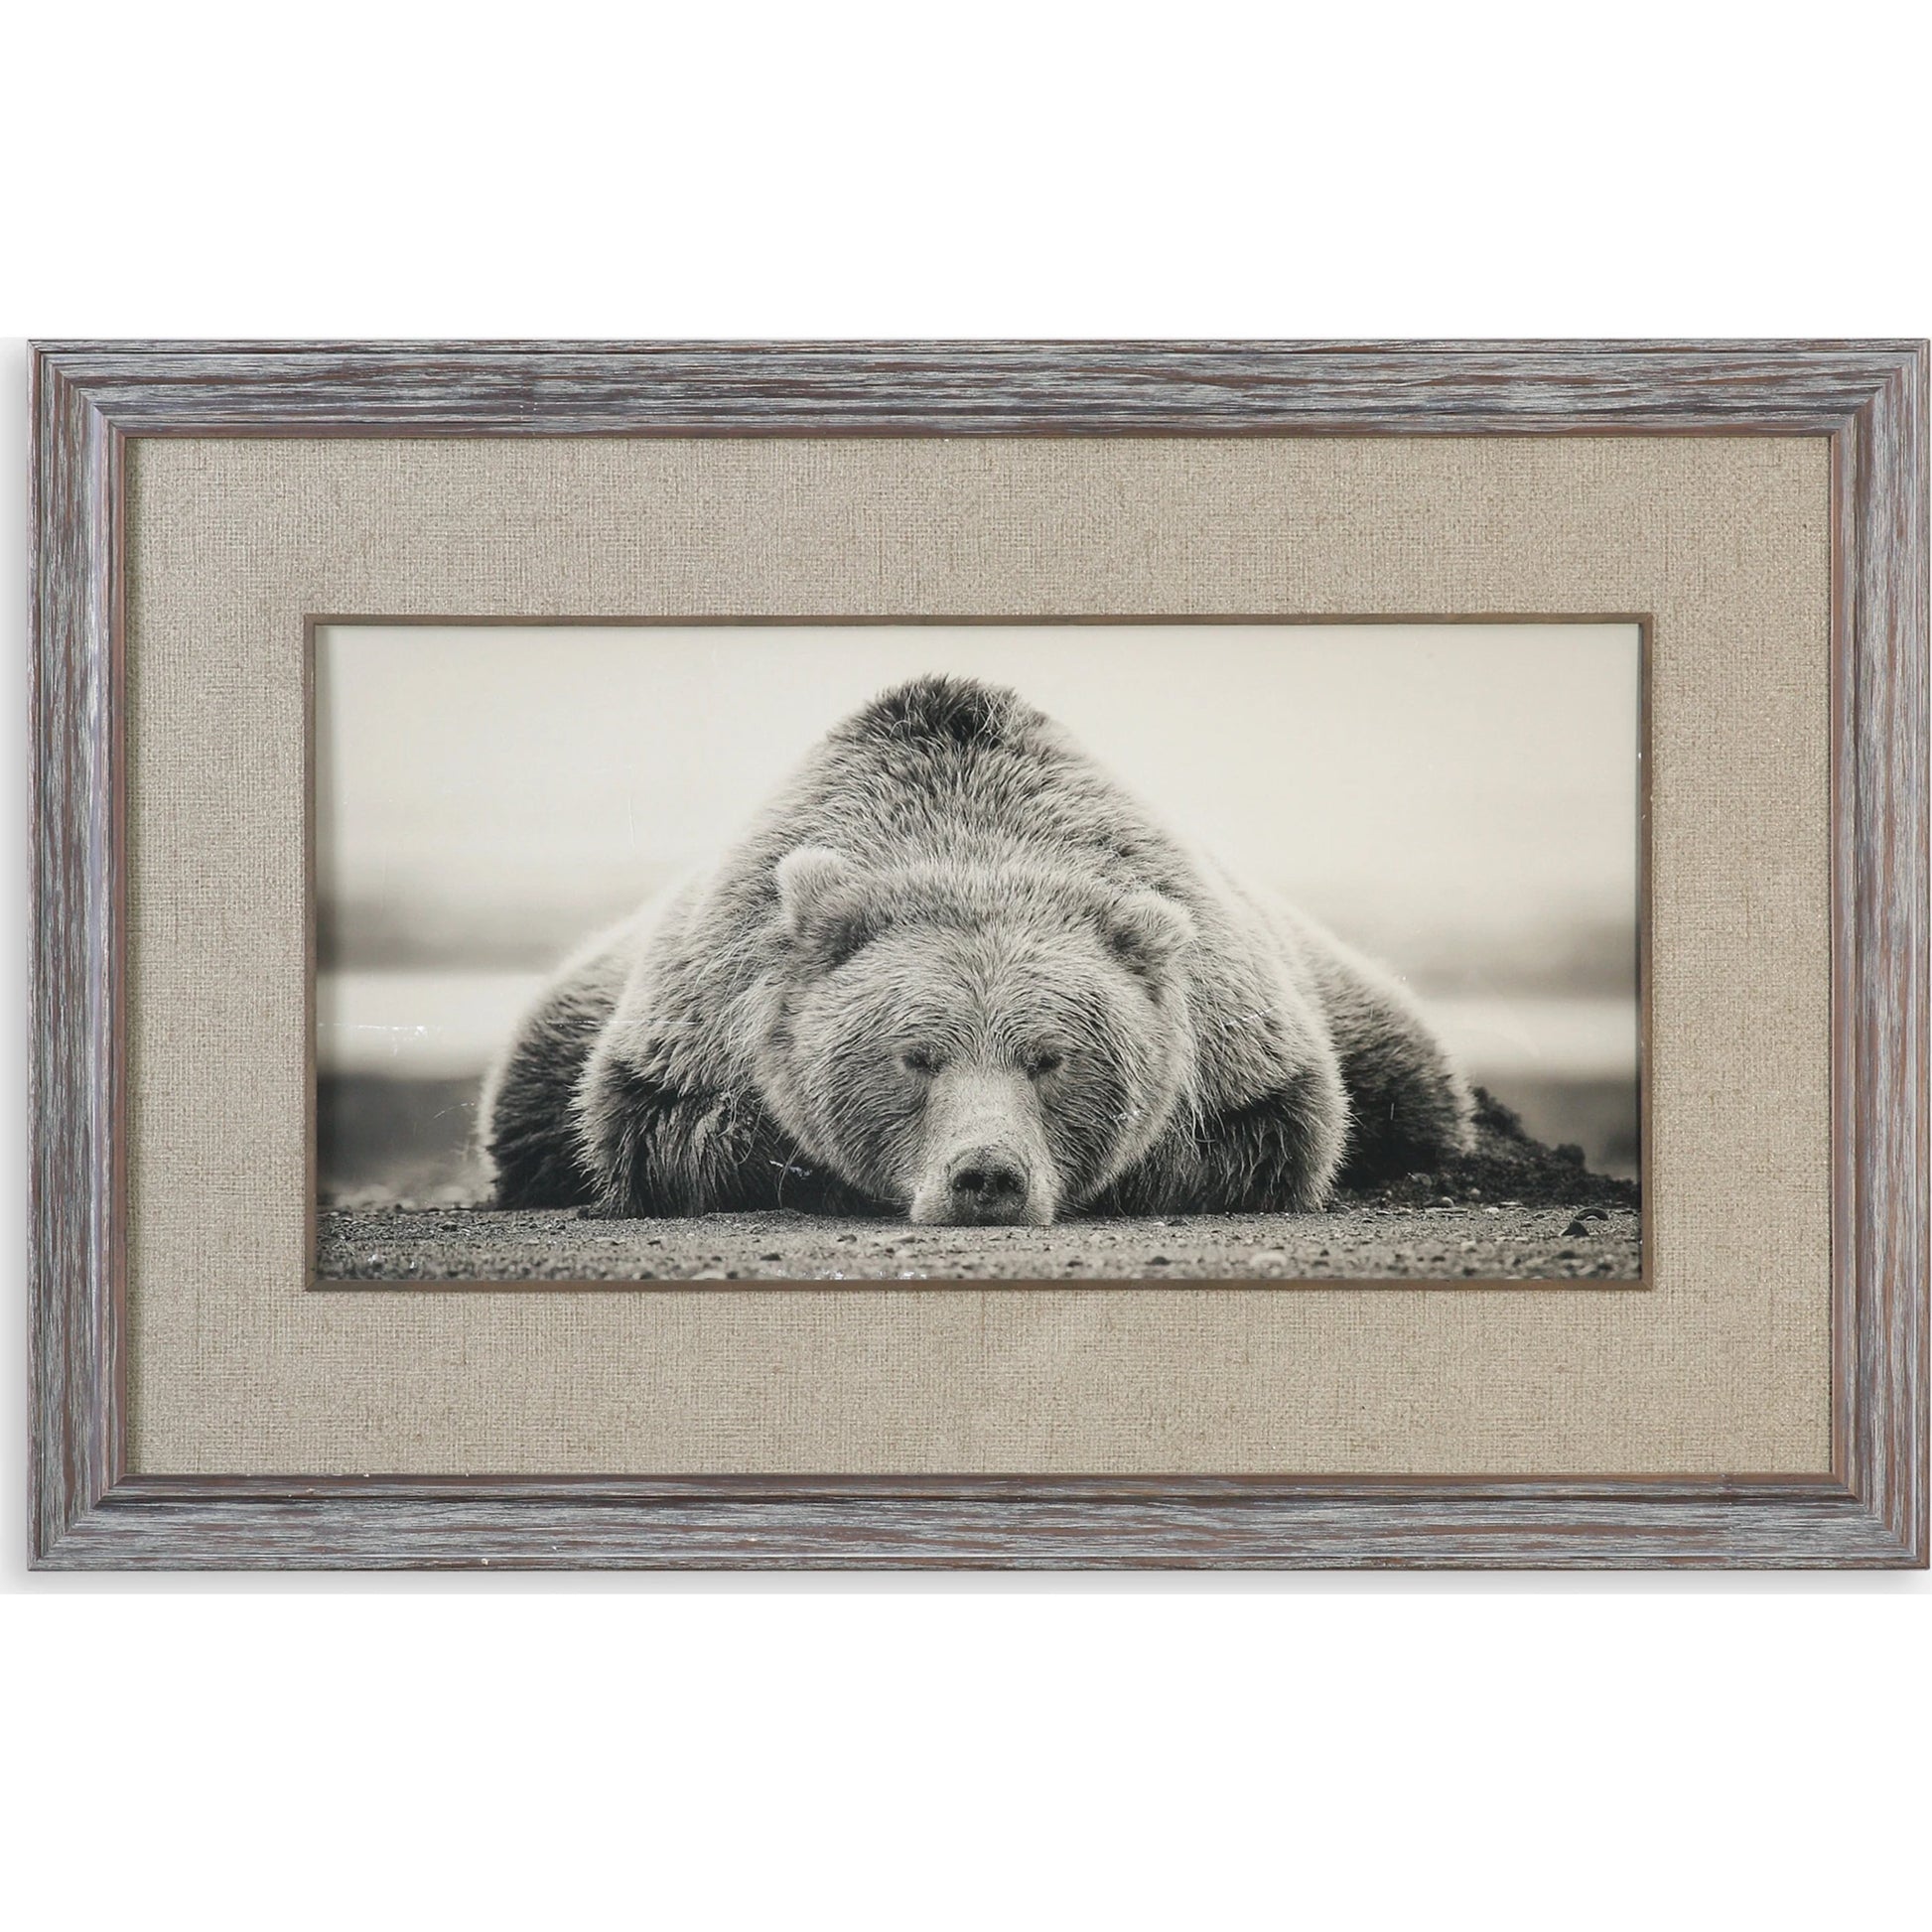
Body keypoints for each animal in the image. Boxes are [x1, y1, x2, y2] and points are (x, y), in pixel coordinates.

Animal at [479, 673, 1473, 1225]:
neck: (972, 837)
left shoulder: (1245, 1043)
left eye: (1051, 1058)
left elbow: (1269, 1135)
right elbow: (669, 1134)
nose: (985, 1177)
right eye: (916, 1056)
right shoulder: (694, 1027)